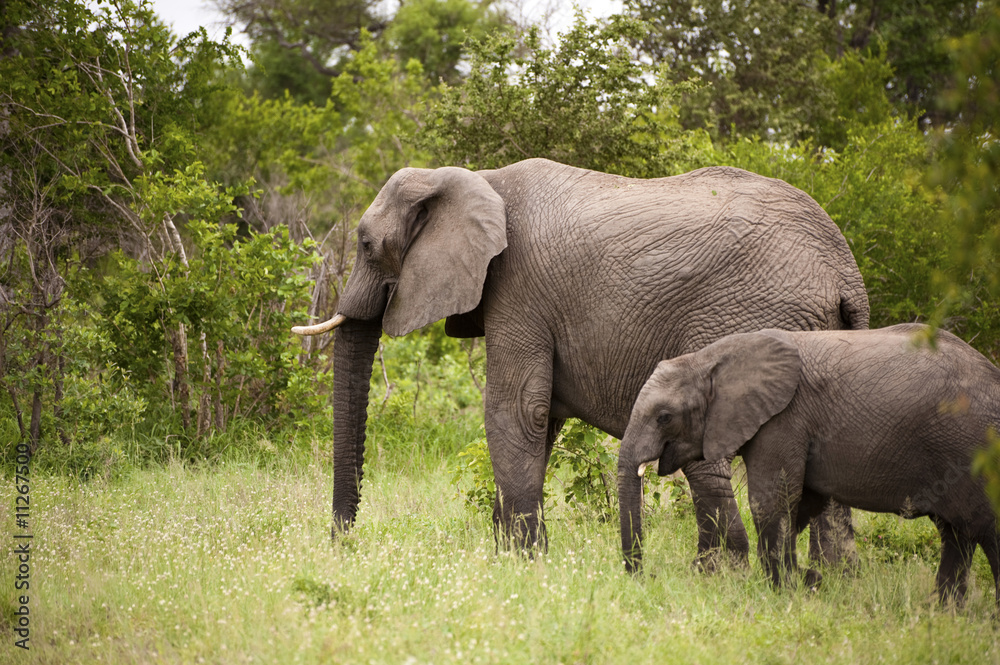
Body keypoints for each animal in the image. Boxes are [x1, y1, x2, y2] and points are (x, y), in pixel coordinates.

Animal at [294, 157, 868, 564]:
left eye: (367, 245)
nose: (342, 543)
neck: (475, 178)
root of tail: (845, 271)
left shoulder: (519, 289)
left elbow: (516, 410)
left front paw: (527, 562)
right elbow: (540, 418)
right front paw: (508, 553)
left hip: (750, 315)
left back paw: (721, 573)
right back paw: (832, 578)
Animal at [616, 322, 1000, 600]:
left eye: (664, 417)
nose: (647, 576)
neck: (711, 358)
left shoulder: (784, 419)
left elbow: (770, 501)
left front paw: (786, 591)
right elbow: (800, 504)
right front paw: (807, 581)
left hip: (974, 448)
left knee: (985, 526)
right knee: (956, 533)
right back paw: (944, 612)